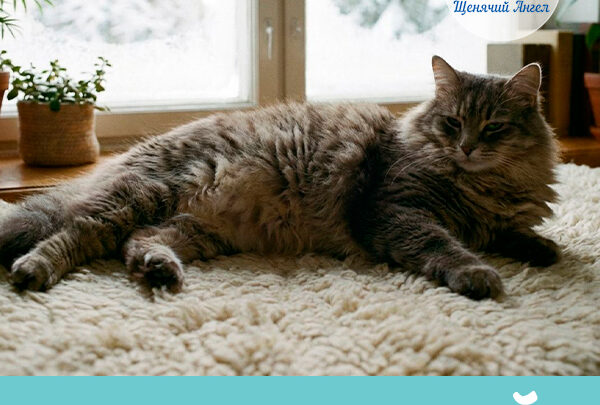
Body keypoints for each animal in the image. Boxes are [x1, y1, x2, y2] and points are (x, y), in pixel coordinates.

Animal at [0, 56, 560, 300]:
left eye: (494, 127)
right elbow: (445, 245)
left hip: (195, 229)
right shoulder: (392, 211)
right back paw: (33, 271)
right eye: (452, 123)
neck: (481, 187)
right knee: (76, 234)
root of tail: (127, 157)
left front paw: (542, 249)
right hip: (144, 195)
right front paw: (478, 274)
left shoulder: (494, 217)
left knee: (135, 243)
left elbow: (514, 233)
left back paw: (159, 270)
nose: (466, 148)